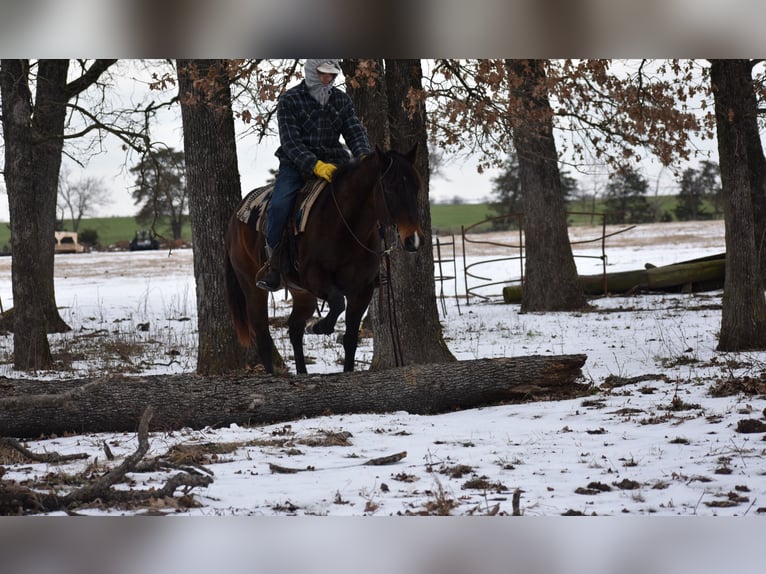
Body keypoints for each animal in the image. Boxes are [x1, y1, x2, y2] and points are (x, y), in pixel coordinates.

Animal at [224, 145, 424, 374]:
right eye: (390, 189)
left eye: (417, 187)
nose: (414, 239)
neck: (345, 225)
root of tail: (236, 216)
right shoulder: (316, 280)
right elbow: (337, 303)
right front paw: (318, 326)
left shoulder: (362, 291)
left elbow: (350, 339)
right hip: (252, 287)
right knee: (263, 336)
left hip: (302, 294)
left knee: (294, 328)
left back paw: (302, 372)